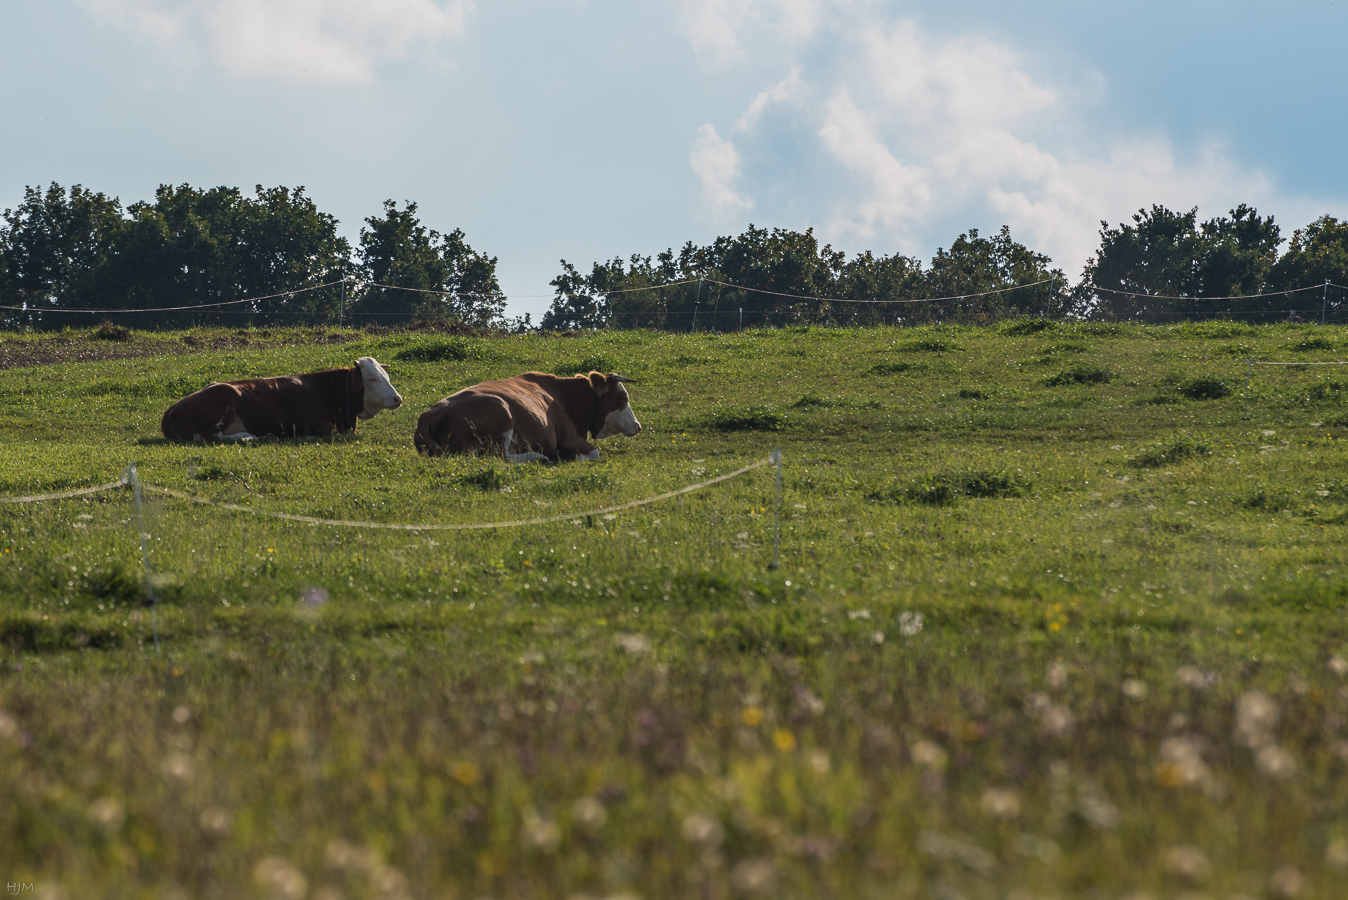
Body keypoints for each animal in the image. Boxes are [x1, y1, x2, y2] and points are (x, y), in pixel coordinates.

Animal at [161, 355, 401, 444]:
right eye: (372, 379)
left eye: (387, 376)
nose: (397, 398)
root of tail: (172, 408)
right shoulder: (313, 424)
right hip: (227, 396)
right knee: (209, 436)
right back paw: (248, 437)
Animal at [412, 369, 638, 460]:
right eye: (622, 398)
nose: (638, 426)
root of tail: (428, 413)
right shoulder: (568, 437)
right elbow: (594, 453)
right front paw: (573, 457)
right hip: (501, 410)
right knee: (500, 458)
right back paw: (539, 457)